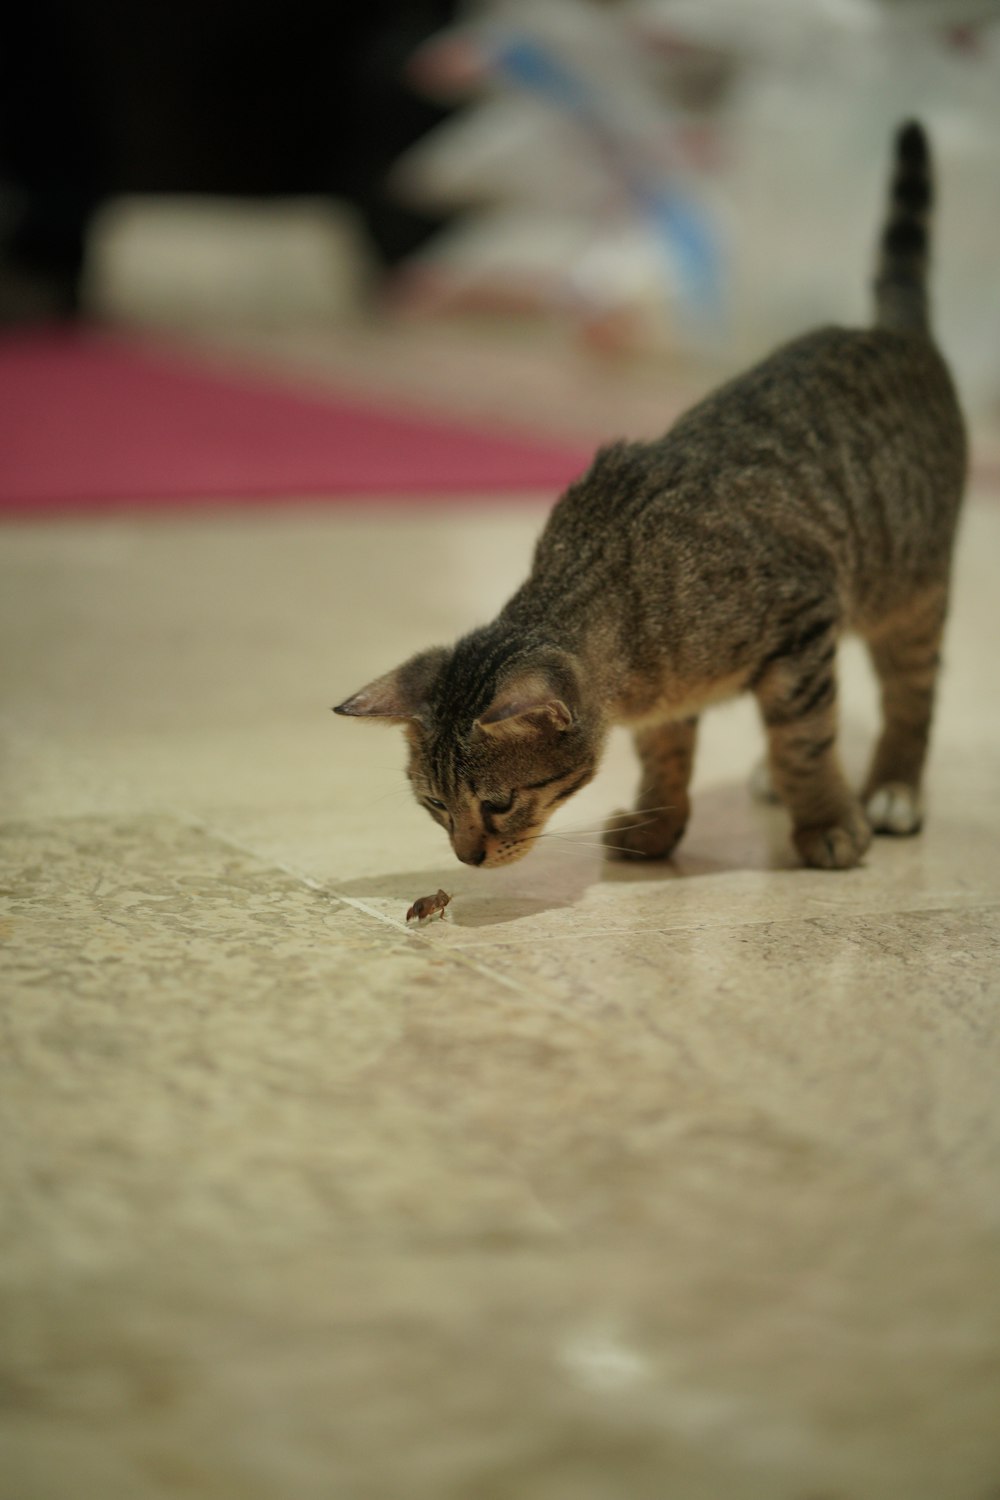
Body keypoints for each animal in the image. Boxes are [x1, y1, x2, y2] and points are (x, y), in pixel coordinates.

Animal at [338, 129, 971, 876]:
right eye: (435, 806)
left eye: (497, 802)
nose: (467, 857)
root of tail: (897, 333)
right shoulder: (685, 690)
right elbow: (667, 757)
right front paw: (656, 826)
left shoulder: (803, 621)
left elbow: (805, 742)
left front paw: (825, 822)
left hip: (907, 592)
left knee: (911, 693)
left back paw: (892, 788)